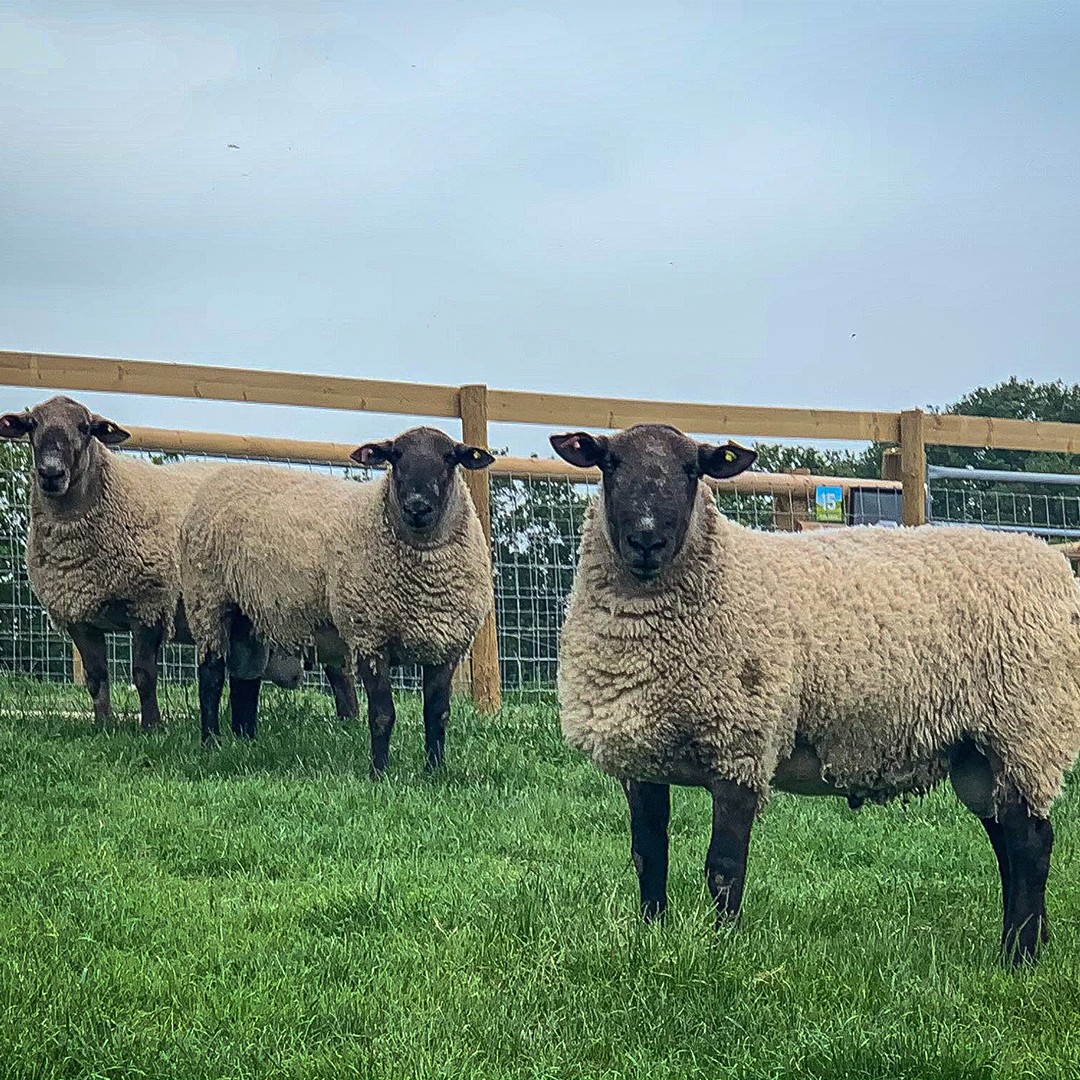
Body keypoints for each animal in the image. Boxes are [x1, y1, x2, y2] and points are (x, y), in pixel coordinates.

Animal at [0, 395, 356, 731]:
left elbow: (143, 674)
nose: (51, 473)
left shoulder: (150, 602)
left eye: (85, 428)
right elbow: (96, 678)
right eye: (32, 425)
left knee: (340, 670)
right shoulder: (79, 615)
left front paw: (152, 727)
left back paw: (348, 721)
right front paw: (103, 726)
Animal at [179, 425, 495, 769]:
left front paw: (435, 771)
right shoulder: (369, 637)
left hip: (249, 614)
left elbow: (438, 715)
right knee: (211, 676)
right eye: (395, 456)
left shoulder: (447, 646)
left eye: (450, 457)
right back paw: (212, 743)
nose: (417, 506)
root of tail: (223, 474)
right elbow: (382, 715)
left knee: (244, 676)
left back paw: (245, 742)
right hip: (208, 599)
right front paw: (379, 772)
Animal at [550, 422, 1080, 965]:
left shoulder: (742, 744)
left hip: (1025, 727)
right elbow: (648, 856)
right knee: (1009, 840)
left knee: (1032, 842)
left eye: (692, 470)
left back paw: (1017, 957)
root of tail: (1053, 565)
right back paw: (1024, 943)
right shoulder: (641, 757)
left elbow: (724, 867)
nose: (646, 540)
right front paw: (651, 936)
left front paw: (722, 952)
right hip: (978, 751)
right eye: (609, 464)